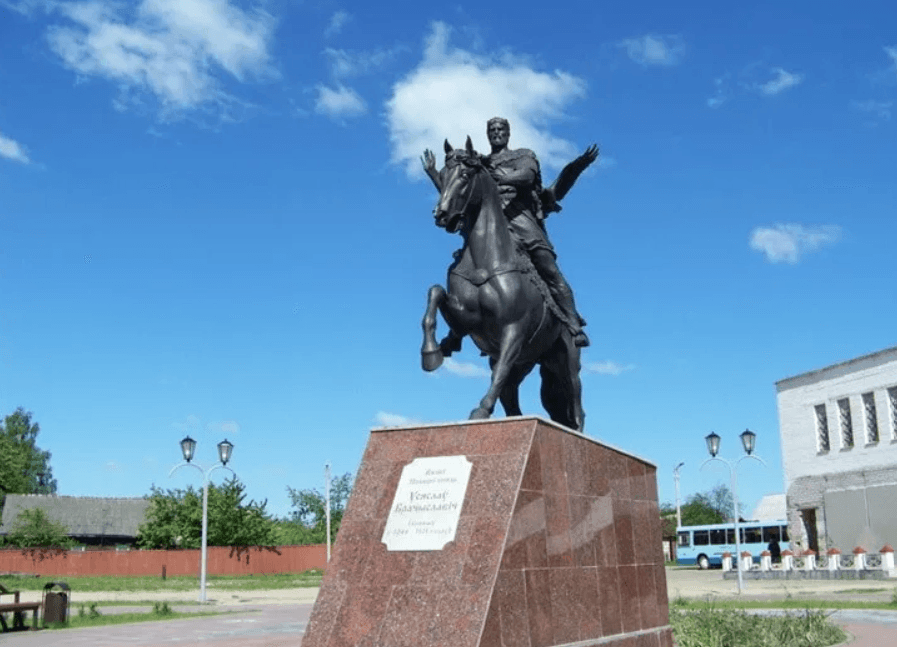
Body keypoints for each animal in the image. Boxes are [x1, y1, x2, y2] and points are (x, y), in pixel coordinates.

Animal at [422, 137, 588, 432]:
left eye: (465, 176)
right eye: (442, 175)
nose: (442, 216)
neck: (485, 260)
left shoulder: (513, 329)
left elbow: (499, 373)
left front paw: (481, 409)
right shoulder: (467, 319)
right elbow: (435, 293)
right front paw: (432, 353)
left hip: (566, 362)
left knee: (576, 405)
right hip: (526, 362)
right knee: (511, 398)